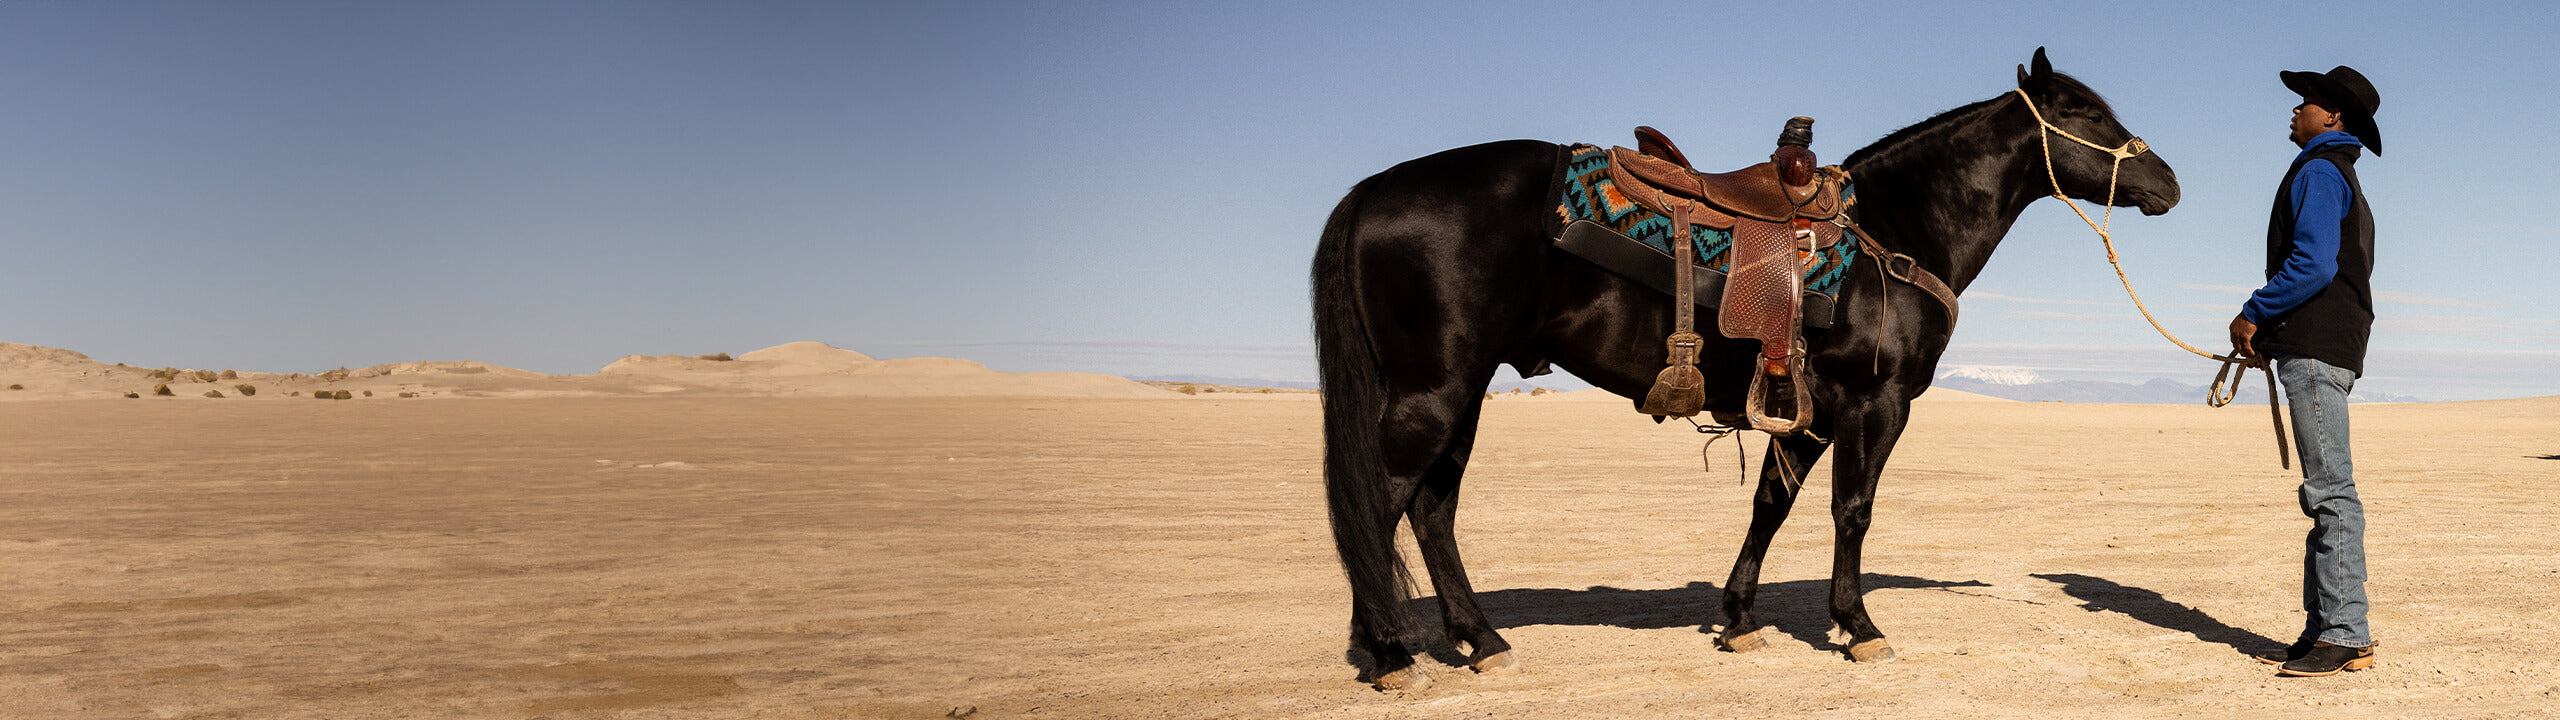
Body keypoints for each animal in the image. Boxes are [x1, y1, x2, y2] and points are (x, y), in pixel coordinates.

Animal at [1320, 47, 2181, 686]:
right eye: (2083, 114)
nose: (2167, 181)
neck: (1898, 231)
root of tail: (1373, 191)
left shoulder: (1806, 410)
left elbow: (1772, 504)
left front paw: (1738, 620)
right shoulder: (1875, 402)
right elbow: (1851, 511)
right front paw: (1859, 626)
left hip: (1461, 391)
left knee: (1432, 509)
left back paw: (1480, 641)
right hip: (1434, 390)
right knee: (1381, 502)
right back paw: (1391, 652)